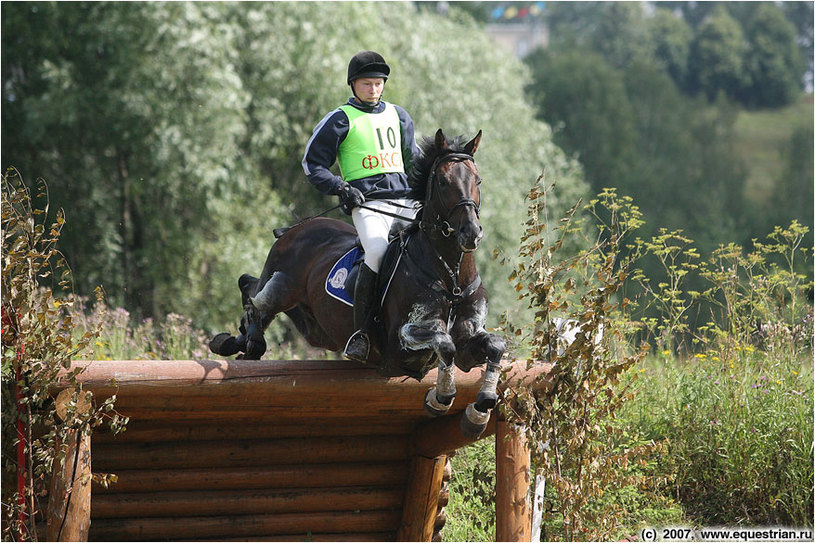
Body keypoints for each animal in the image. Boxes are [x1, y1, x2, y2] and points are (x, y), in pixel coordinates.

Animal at [207, 130, 506, 440]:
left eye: (478, 180)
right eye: (444, 182)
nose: (471, 233)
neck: (451, 278)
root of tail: (296, 228)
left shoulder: (469, 342)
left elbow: (496, 344)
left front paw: (481, 408)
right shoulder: (401, 343)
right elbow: (444, 343)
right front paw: (441, 397)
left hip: (314, 326)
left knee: (254, 291)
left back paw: (238, 342)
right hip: (281, 286)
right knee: (253, 292)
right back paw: (246, 341)